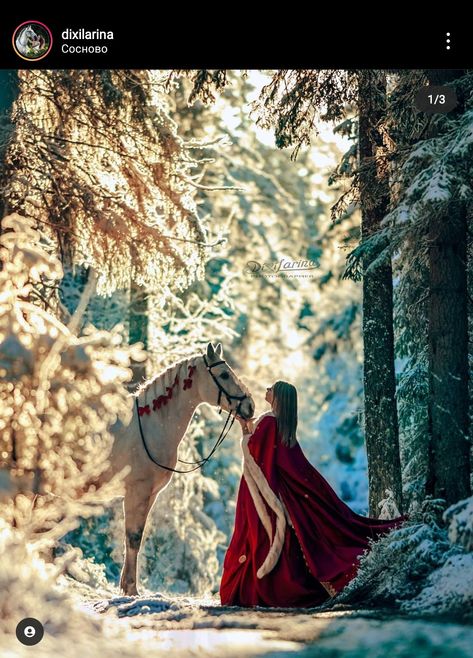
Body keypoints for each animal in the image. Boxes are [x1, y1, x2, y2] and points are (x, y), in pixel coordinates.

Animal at [95, 344, 254, 596]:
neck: (150, 426)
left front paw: (127, 588)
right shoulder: (136, 493)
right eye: (224, 375)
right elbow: (133, 538)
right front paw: (131, 590)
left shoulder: (149, 496)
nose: (250, 406)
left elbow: (136, 539)